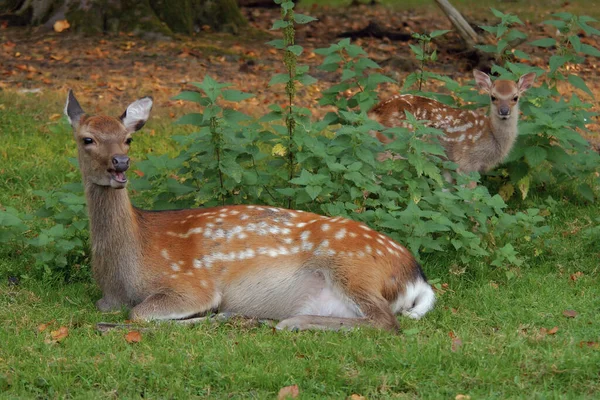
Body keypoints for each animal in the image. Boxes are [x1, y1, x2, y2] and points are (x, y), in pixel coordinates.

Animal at [63, 90, 434, 332]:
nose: (120, 163)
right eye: (87, 139)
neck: (121, 276)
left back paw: (286, 321)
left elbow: (138, 314)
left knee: (387, 322)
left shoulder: (191, 284)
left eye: (128, 139)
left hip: (352, 267)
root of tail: (417, 277)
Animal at [368, 69, 536, 182]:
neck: (491, 134)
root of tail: (374, 111)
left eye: (515, 97)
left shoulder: (448, 164)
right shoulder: (466, 162)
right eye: (493, 97)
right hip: (395, 146)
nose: (504, 111)